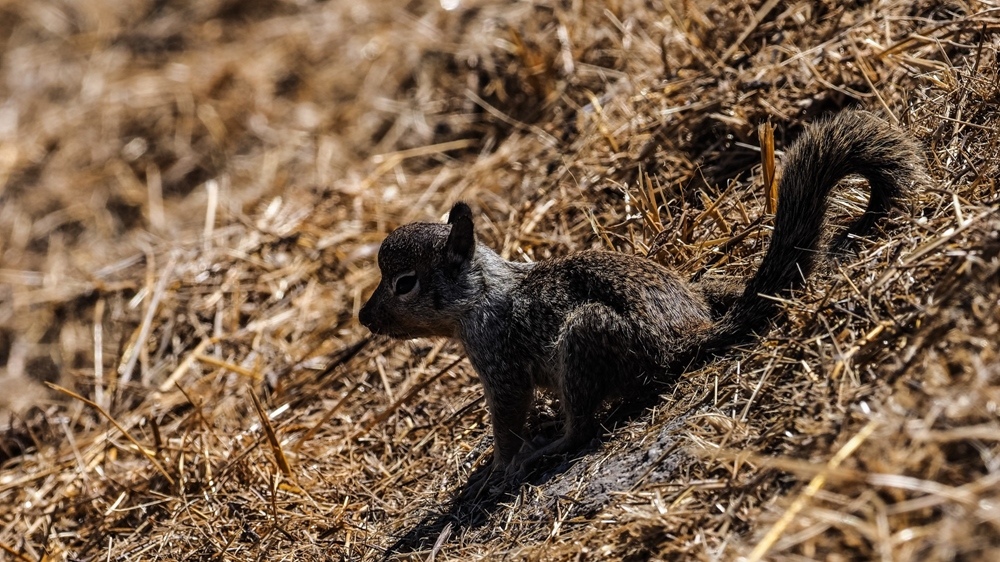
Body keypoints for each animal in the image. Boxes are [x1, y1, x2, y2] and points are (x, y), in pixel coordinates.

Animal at [358, 110, 920, 476]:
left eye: (405, 283)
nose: (365, 318)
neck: (483, 293)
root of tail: (684, 334)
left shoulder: (499, 364)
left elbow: (508, 418)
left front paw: (500, 467)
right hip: (692, 294)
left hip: (583, 340)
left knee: (582, 427)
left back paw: (550, 446)